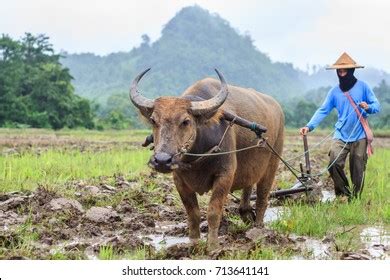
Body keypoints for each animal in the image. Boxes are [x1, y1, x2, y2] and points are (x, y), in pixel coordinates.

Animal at [129, 69, 284, 249]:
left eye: (186, 121)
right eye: (154, 120)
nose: (161, 160)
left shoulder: (225, 176)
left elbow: (213, 212)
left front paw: (213, 246)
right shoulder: (179, 179)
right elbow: (193, 213)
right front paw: (193, 242)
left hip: (272, 164)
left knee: (262, 198)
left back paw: (259, 228)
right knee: (247, 193)